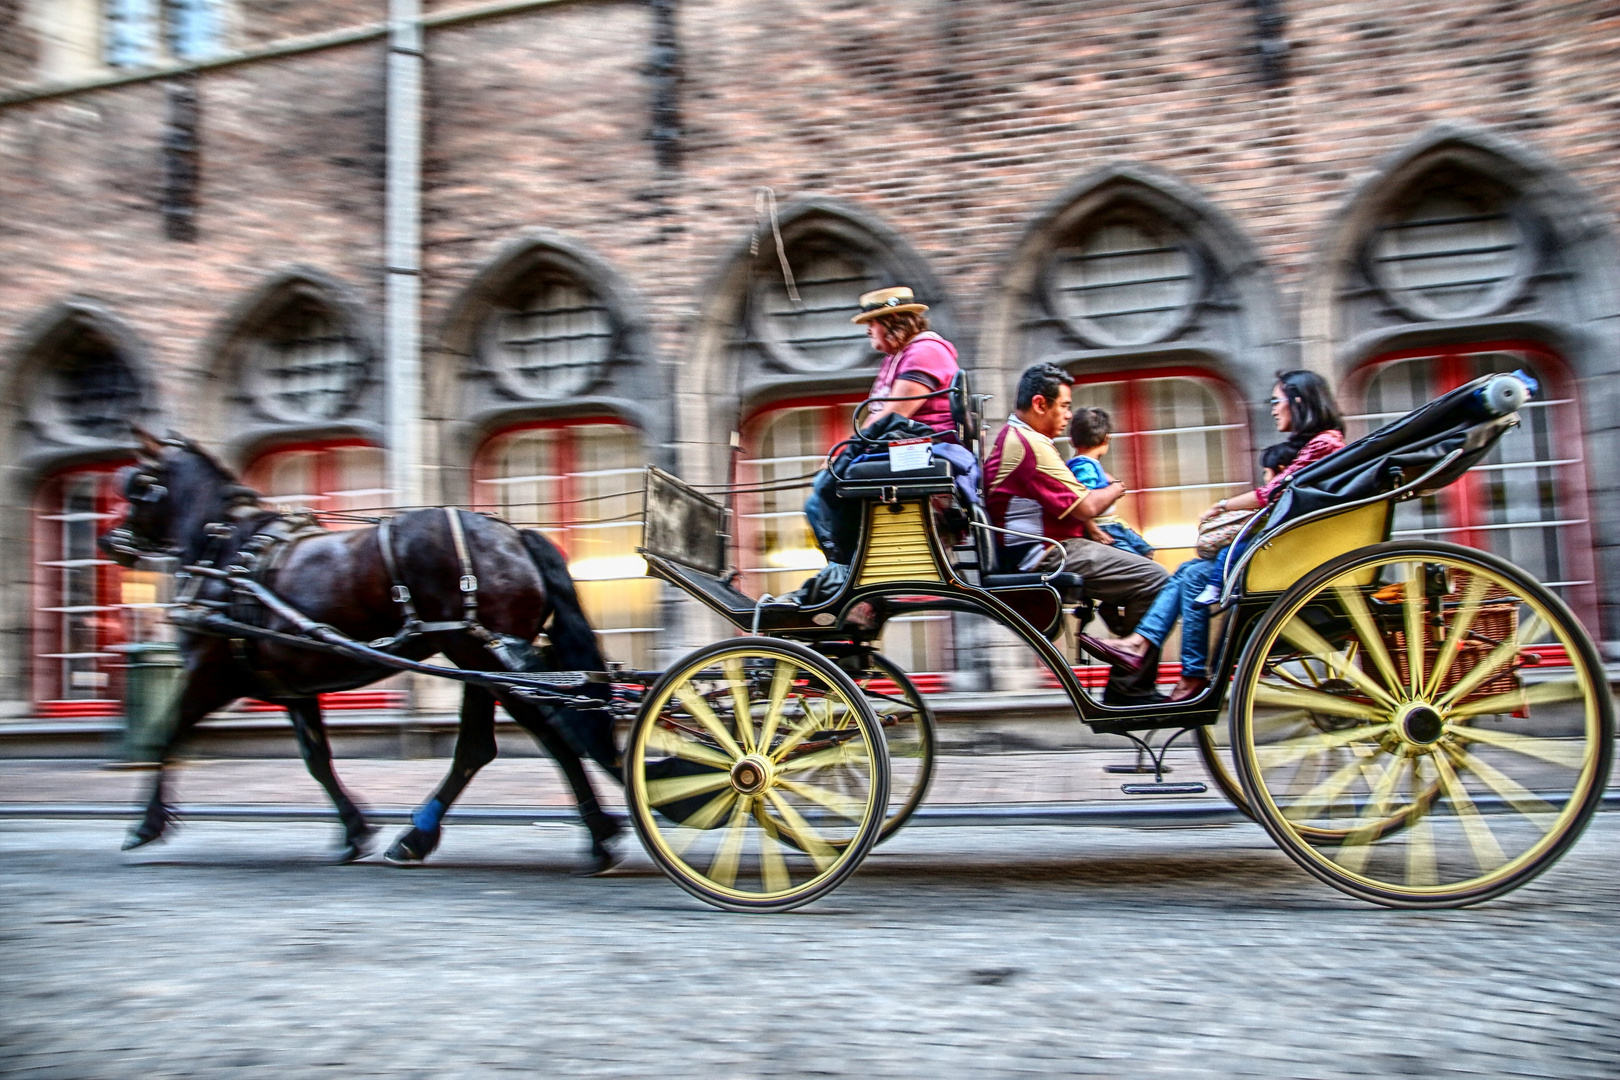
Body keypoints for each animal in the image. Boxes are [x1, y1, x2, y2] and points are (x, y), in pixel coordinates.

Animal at [98, 430, 622, 867]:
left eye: (139, 483)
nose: (110, 541)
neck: (224, 555)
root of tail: (515, 535)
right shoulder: (292, 687)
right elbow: (317, 759)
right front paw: (354, 831)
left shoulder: (210, 672)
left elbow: (167, 735)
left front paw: (146, 826)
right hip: (479, 662)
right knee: (478, 748)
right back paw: (417, 837)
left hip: (478, 657)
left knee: (551, 736)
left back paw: (599, 833)